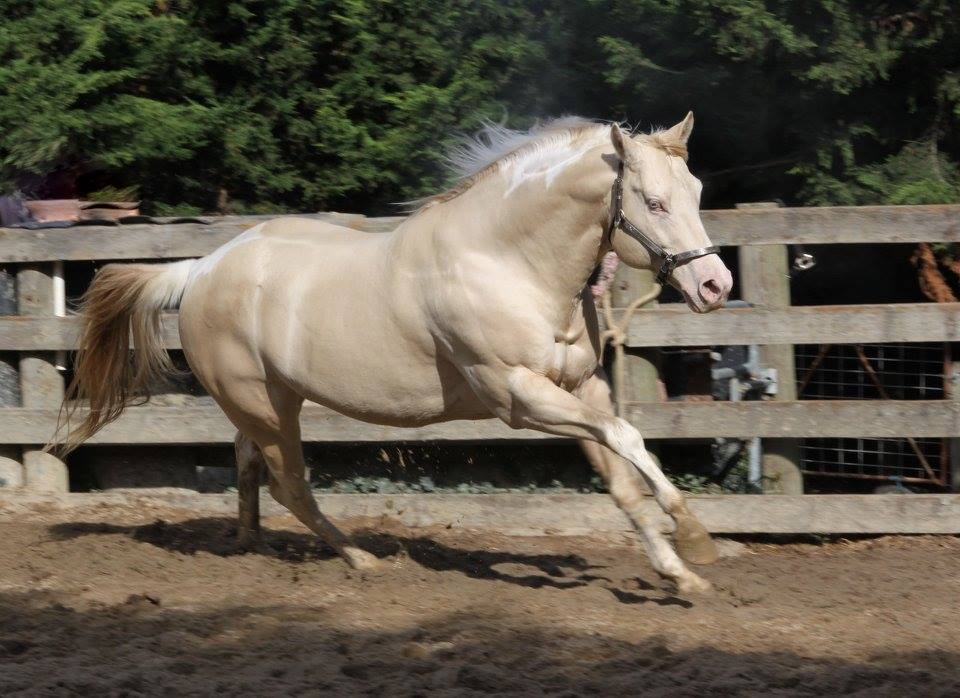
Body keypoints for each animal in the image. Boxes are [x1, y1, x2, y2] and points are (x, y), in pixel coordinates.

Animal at [62, 114, 728, 592]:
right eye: (653, 201)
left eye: (697, 191)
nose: (715, 286)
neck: (508, 262)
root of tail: (200, 269)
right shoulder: (517, 396)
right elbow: (629, 438)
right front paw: (695, 536)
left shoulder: (581, 387)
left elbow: (622, 475)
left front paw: (678, 573)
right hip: (269, 407)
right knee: (291, 486)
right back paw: (364, 561)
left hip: (264, 402)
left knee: (249, 465)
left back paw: (250, 548)